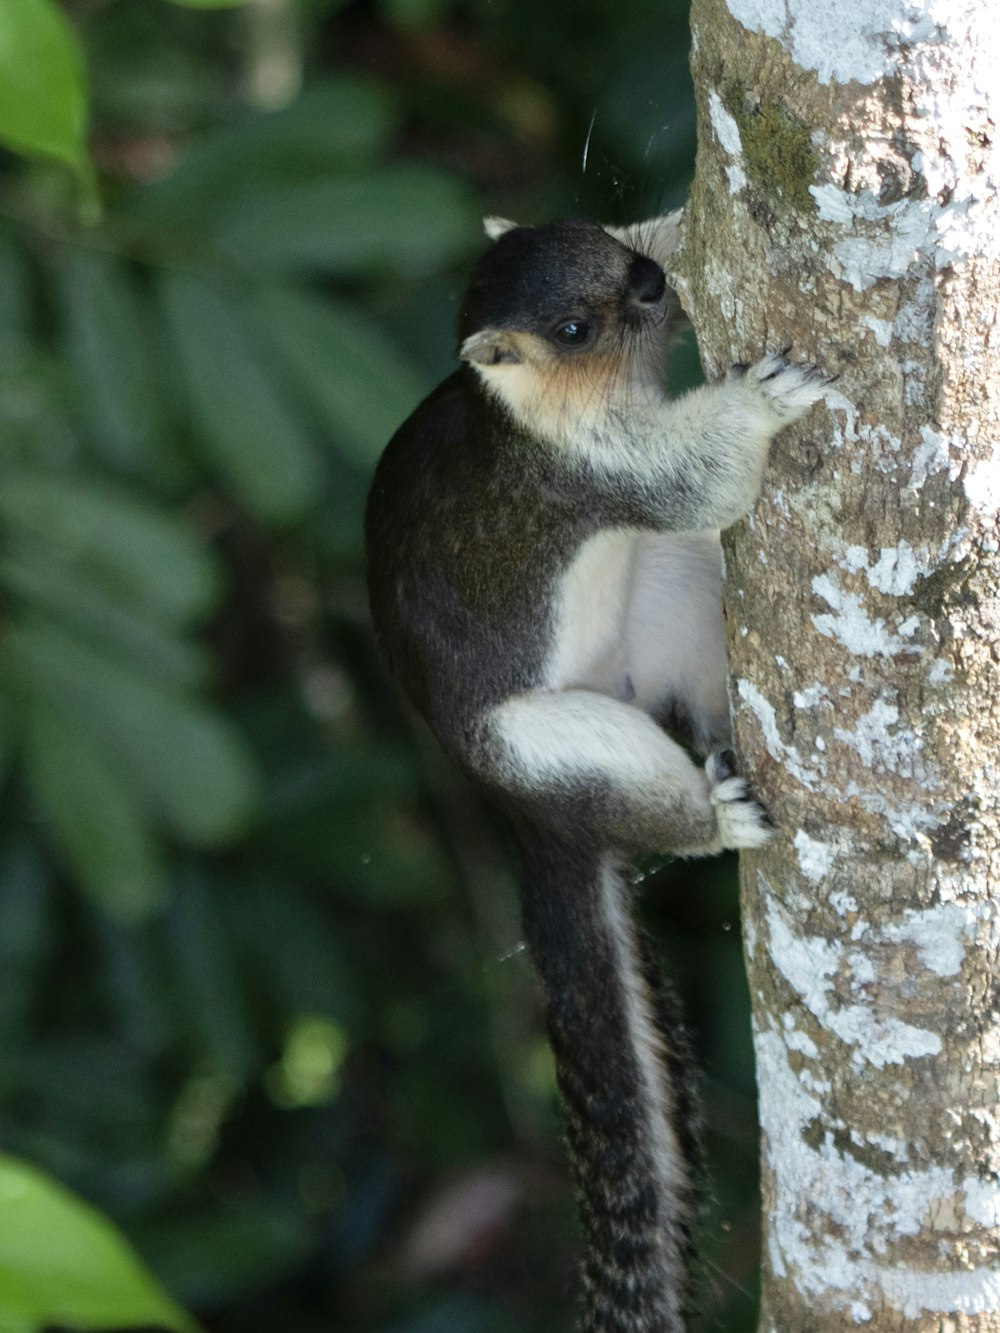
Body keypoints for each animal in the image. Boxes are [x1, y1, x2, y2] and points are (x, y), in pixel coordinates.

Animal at [365, 213, 826, 1327]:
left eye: (599, 237)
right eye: (574, 327)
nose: (654, 281)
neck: (531, 408)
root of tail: (522, 821)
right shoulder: (598, 478)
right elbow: (703, 479)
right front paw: (760, 399)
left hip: (664, 596)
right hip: (553, 744)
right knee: (646, 801)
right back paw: (715, 814)